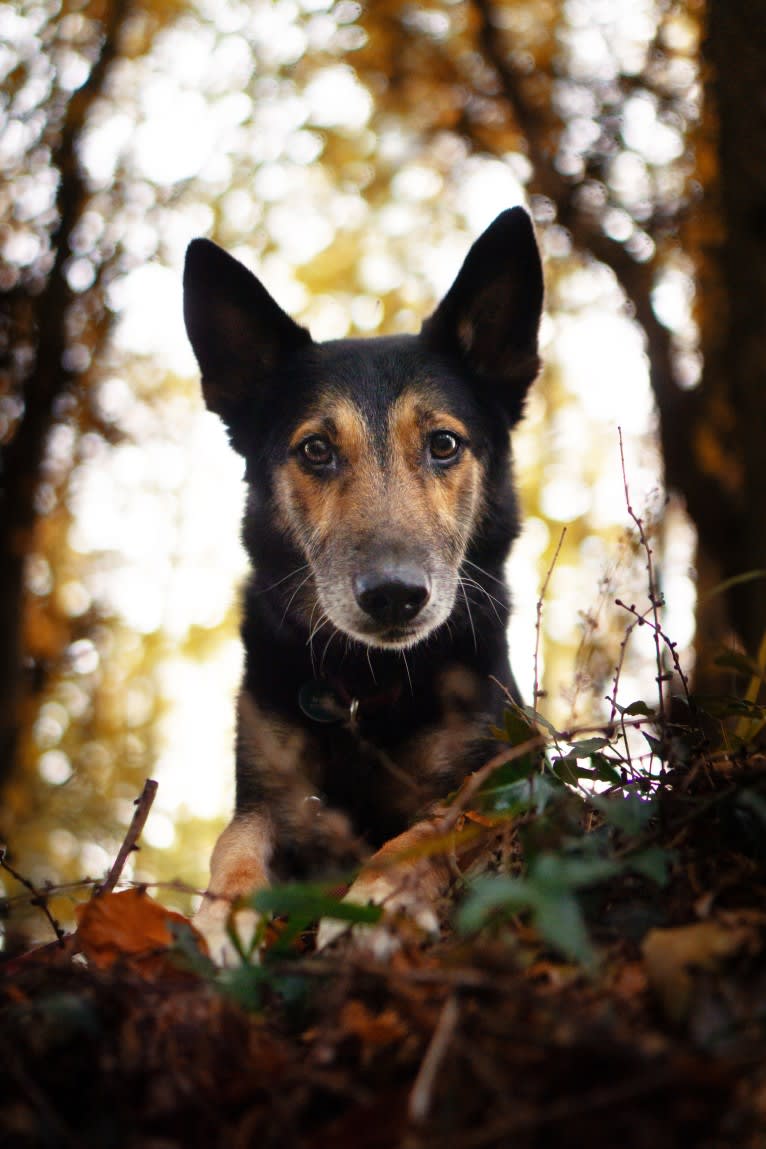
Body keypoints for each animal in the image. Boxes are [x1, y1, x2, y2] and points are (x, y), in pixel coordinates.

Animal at [183, 209, 544, 960]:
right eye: (316, 449)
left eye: (444, 444)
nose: (394, 596)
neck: (367, 681)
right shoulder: (267, 796)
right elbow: (232, 846)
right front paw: (221, 917)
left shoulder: (502, 776)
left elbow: (430, 827)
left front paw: (376, 897)